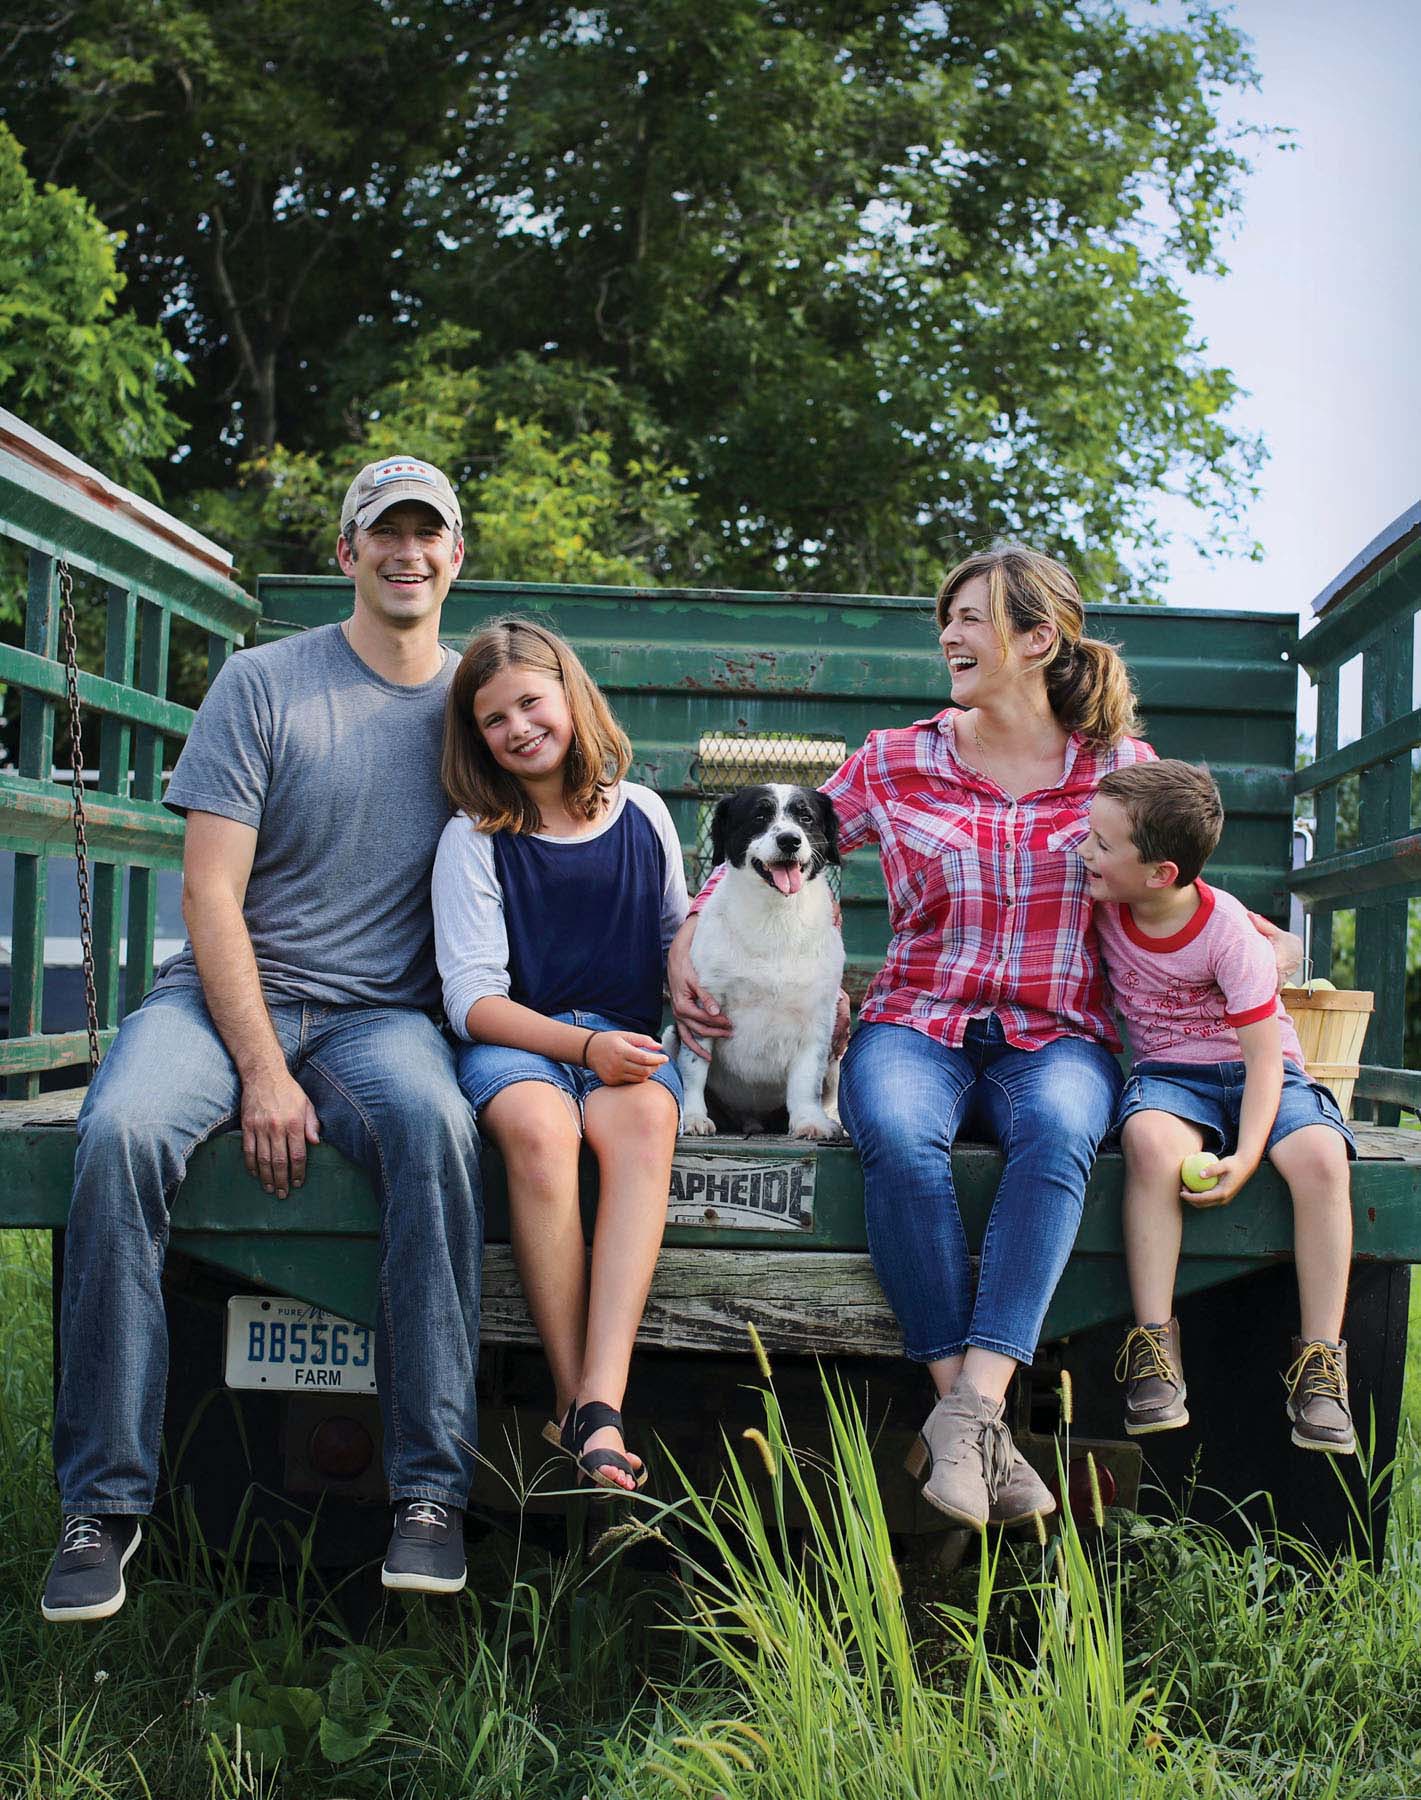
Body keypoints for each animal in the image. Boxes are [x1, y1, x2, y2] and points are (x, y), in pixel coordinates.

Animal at [662, 784, 842, 1137]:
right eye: (760, 816)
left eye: (805, 817)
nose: (789, 840)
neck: (776, 920)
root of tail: (751, 1121)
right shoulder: (705, 1008)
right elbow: (694, 1070)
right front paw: (694, 1116)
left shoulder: (817, 1018)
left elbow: (805, 1081)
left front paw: (809, 1121)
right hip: (669, 1037)